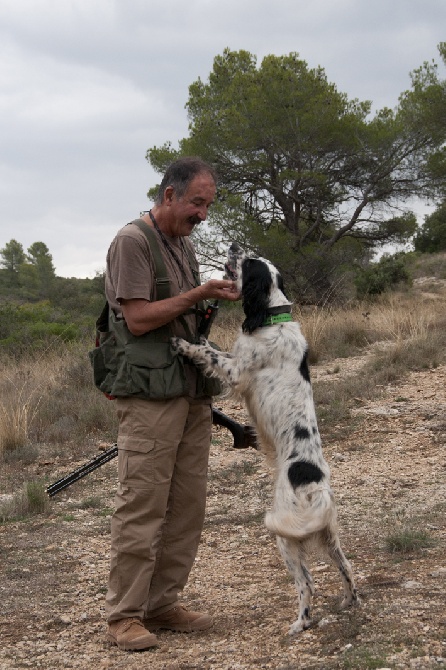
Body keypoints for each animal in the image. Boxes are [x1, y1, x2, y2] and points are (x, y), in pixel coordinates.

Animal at [171, 242, 358, 636]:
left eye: (248, 262)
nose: (233, 245)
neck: (272, 317)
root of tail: (316, 487)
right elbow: (210, 344)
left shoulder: (235, 370)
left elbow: (207, 352)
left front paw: (181, 342)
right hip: (329, 534)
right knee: (347, 567)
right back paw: (351, 601)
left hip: (286, 537)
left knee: (307, 583)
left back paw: (301, 622)